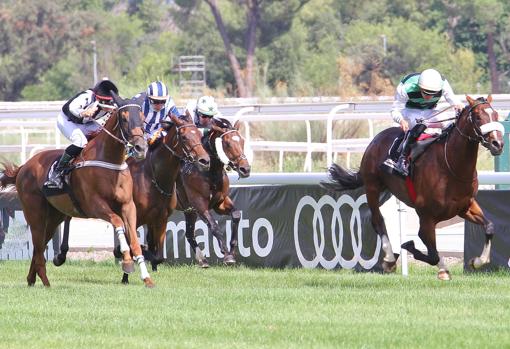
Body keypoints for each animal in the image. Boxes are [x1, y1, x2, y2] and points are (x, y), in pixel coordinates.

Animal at [0, 92, 155, 286]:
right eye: (124, 118)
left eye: (142, 117)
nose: (141, 148)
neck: (109, 160)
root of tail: (24, 167)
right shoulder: (95, 206)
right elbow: (118, 222)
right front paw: (127, 262)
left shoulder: (128, 205)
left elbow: (134, 239)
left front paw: (147, 278)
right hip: (35, 213)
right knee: (38, 244)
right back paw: (45, 282)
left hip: (54, 216)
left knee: (39, 246)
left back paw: (32, 279)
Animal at [174, 117, 250, 266]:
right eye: (227, 144)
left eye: (242, 141)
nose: (245, 169)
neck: (210, 172)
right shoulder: (199, 204)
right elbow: (214, 226)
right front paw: (226, 254)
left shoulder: (220, 203)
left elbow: (236, 214)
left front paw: (232, 250)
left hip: (189, 211)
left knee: (189, 234)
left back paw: (202, 260)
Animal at [324, 96, 504, 280]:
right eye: (478, 117)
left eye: (496, 115)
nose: (498, 143)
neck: (451, 167)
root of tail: (377, 138)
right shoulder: (426, 215)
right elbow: (431, 252)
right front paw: (429, 260)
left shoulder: (465, 206)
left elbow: (489, 227)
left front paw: (478, 261)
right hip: (372, 186)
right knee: (377, 220)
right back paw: (389, 259)